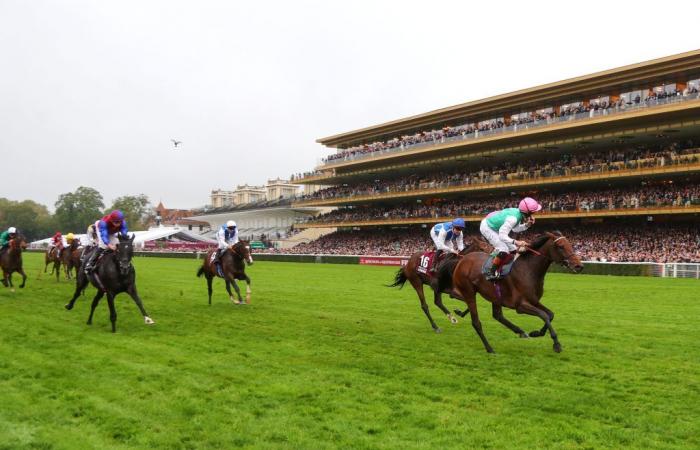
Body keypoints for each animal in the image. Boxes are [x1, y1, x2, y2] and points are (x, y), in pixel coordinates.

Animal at [452, 232, 584, 356]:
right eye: (561, 246)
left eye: (570, 244)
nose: (579, 265)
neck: (528, 270)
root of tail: (462, 260)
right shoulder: (520, 306)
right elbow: (544, 315)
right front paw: (556, 344)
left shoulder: (534, 301)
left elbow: (551, 314)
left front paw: (536, 333)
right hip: (469, 293)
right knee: (476, 323)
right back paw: (490, 348)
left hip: (495, 296)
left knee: (497, 316)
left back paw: (520, 332)